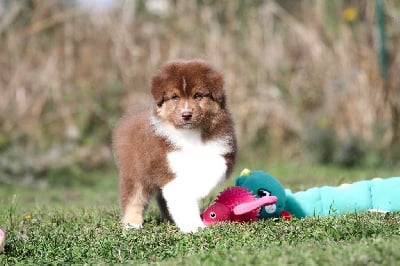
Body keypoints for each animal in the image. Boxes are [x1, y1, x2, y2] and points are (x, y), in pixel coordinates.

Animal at [112, 59, 236, 232]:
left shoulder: (223, 149)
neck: (191, 134)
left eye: (198, 95)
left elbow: (216, 168)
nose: (186, 114)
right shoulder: (169, 166)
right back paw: (132, 224)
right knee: (133, 197)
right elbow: (182, 198)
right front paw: (193, 226)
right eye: (175, 97)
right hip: (135, 171)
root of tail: (126, 119)